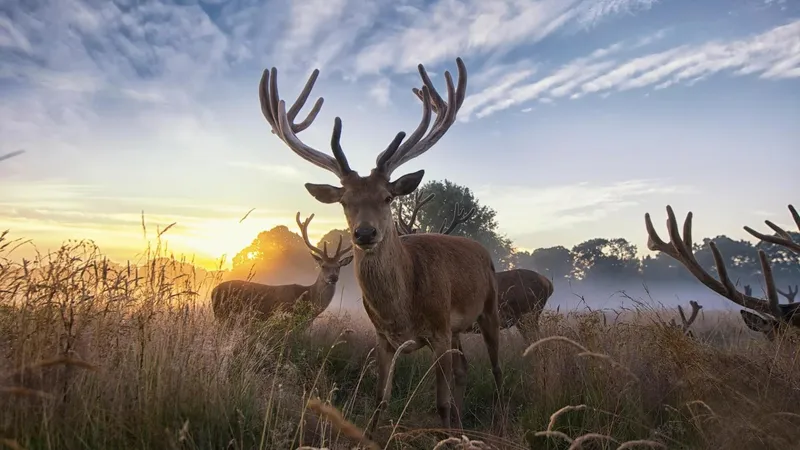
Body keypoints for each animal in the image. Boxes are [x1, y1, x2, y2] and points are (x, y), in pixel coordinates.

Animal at [211, 212, 352, 322]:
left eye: (339, 266)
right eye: (323, 266)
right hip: (223, 315)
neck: (309, 298)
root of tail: (213, 291)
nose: (333, 277)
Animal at [260, 57, 504, 432]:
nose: (364, 234)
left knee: (496, 370)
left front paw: (444, 429)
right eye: (344, 201)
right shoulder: (383, 338)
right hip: (458, 329)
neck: (401, 309)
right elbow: (380, 401)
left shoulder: (438, 328)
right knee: (464, 369)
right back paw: (461, 426)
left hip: (489, 308)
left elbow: (440, 403)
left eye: (388, 197)